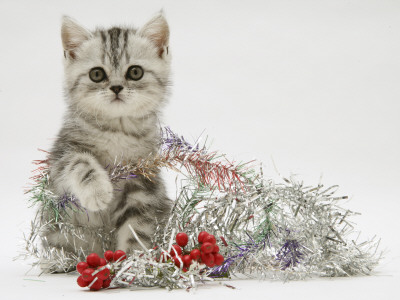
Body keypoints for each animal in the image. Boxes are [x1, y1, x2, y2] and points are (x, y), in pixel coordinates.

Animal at [44, 13, 172, 262]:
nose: (116, 88)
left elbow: (136, 229)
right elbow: (80, 162)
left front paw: (131, 262)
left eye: (135, 72)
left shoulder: (142, 180)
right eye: (97, 74)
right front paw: (98, 192)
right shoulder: (62, 154)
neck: (117, 130)